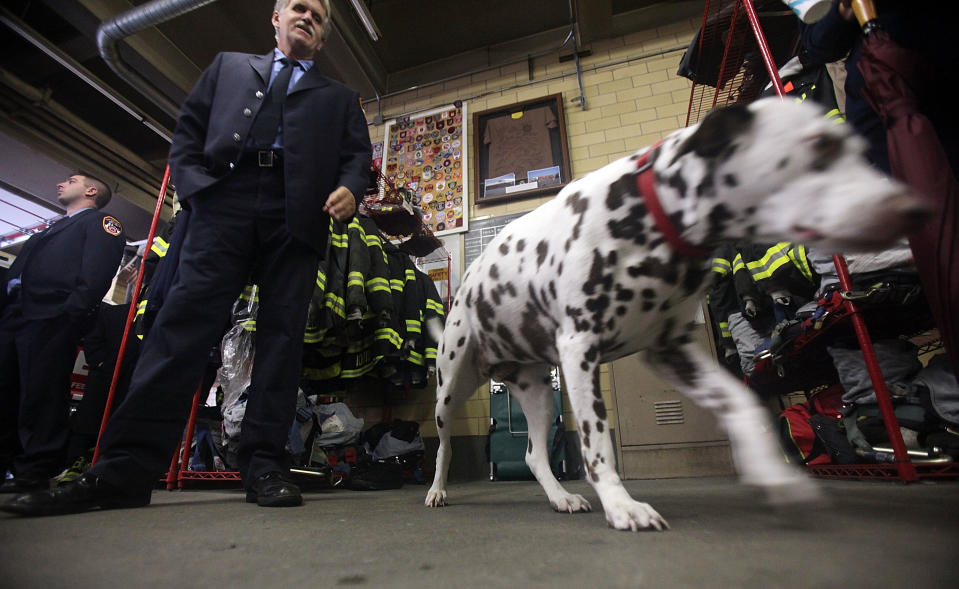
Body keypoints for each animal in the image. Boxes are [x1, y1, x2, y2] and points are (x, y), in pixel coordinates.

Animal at [426, 96, 928, 528]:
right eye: (820, 146)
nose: (916, 209)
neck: (650, 211)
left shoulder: (672, 354)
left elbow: (743, 404)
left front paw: (774, 474)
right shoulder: (580, 349)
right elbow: (596, 442)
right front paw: (621, 504)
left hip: (537, 393)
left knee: (532, 454)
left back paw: (560, 496)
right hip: (451, 389)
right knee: (444, 446)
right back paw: (437, 491)